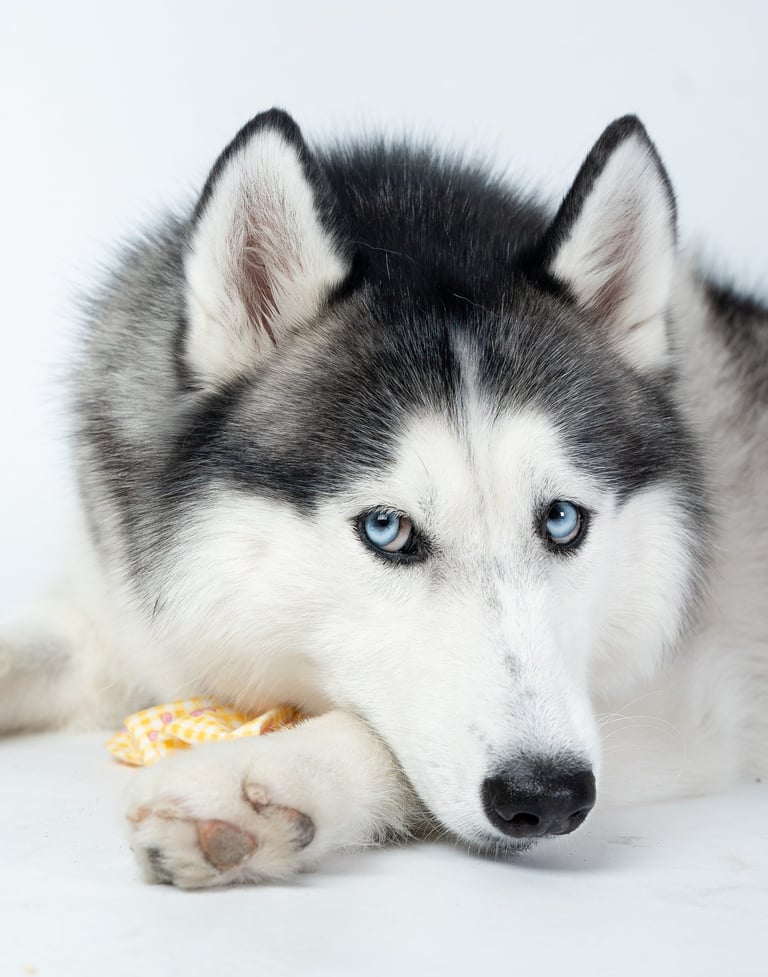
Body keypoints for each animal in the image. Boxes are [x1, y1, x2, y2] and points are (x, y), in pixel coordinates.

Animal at [1, 109, 765, 887]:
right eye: (386, 528)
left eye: (560, 519)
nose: (548, 794)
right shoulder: (112, 622)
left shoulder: (683, 705)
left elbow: (378, 738)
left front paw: (258, 781)